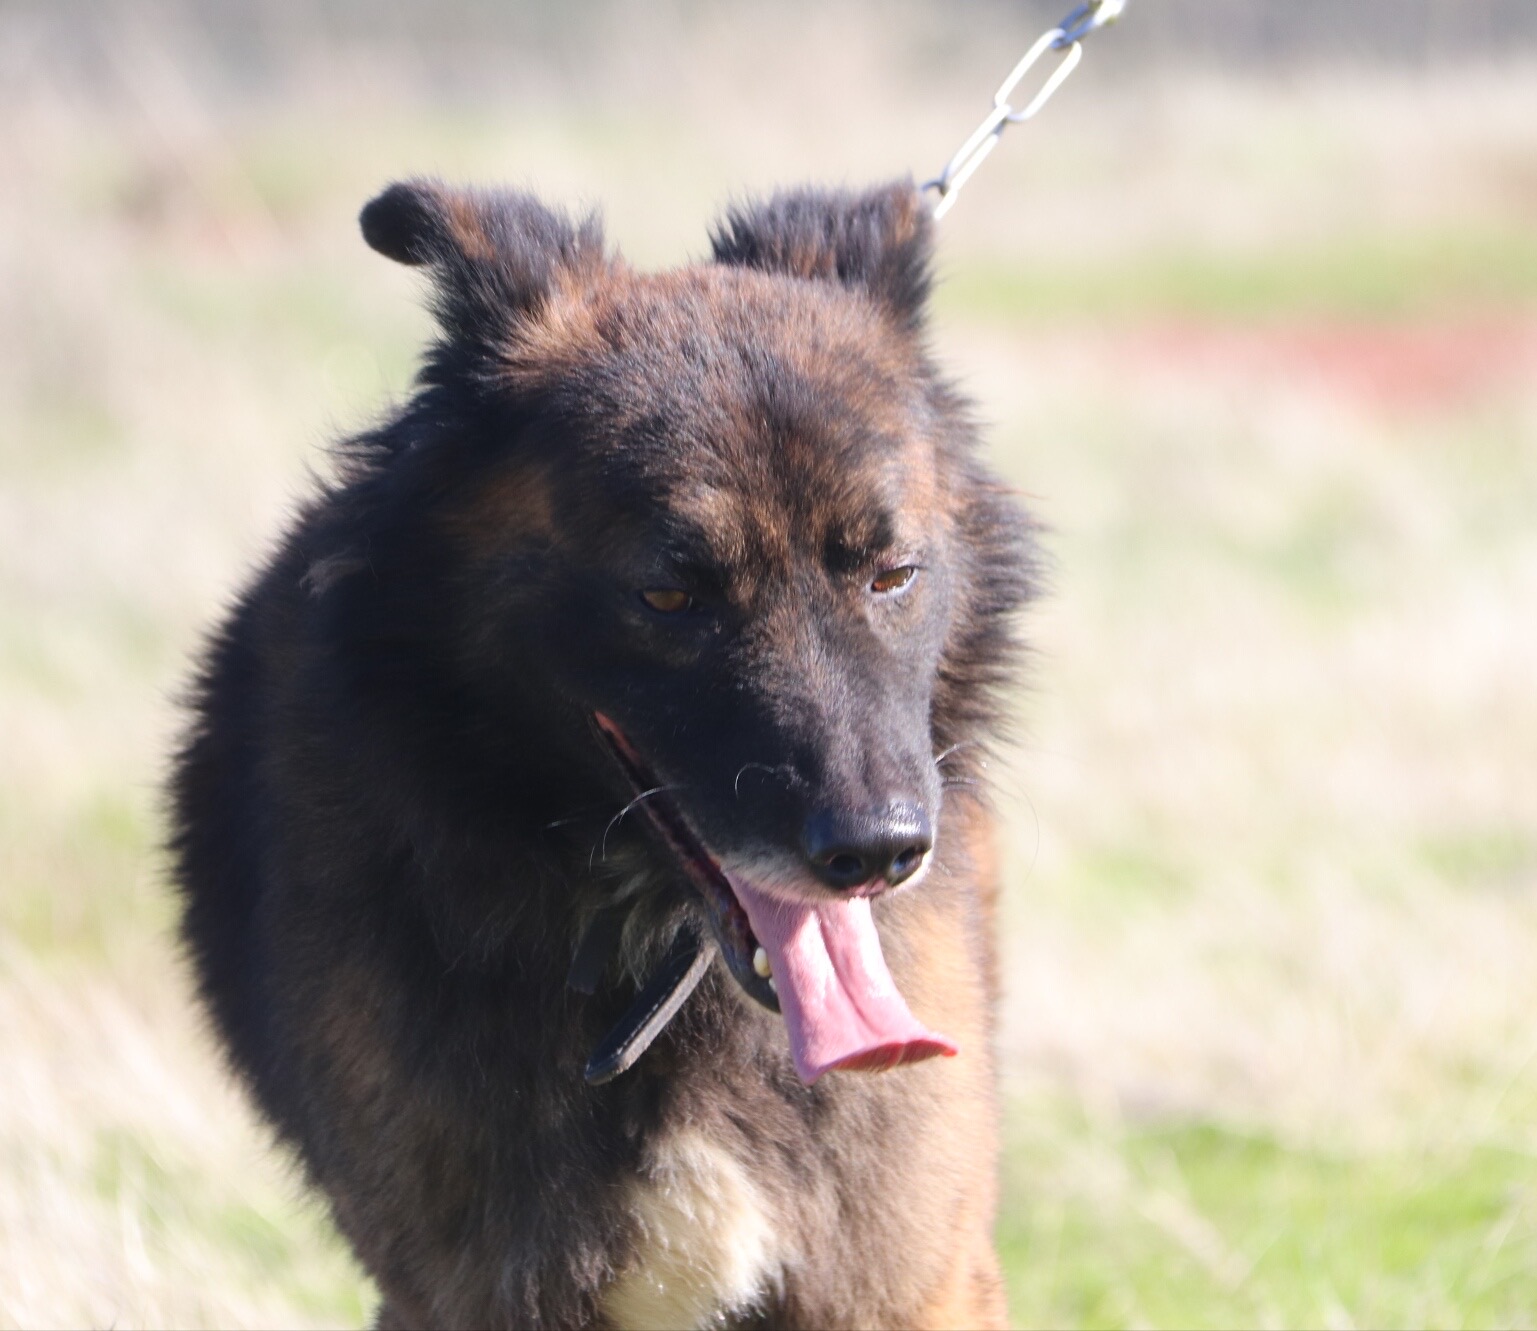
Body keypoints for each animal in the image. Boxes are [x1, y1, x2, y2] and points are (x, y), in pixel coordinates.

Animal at [170, 177, 1034, 1329]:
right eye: (669, 592)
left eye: (891, 572)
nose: (879, 851)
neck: (654, 970)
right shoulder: (470, 1290)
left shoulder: (902, 1277)